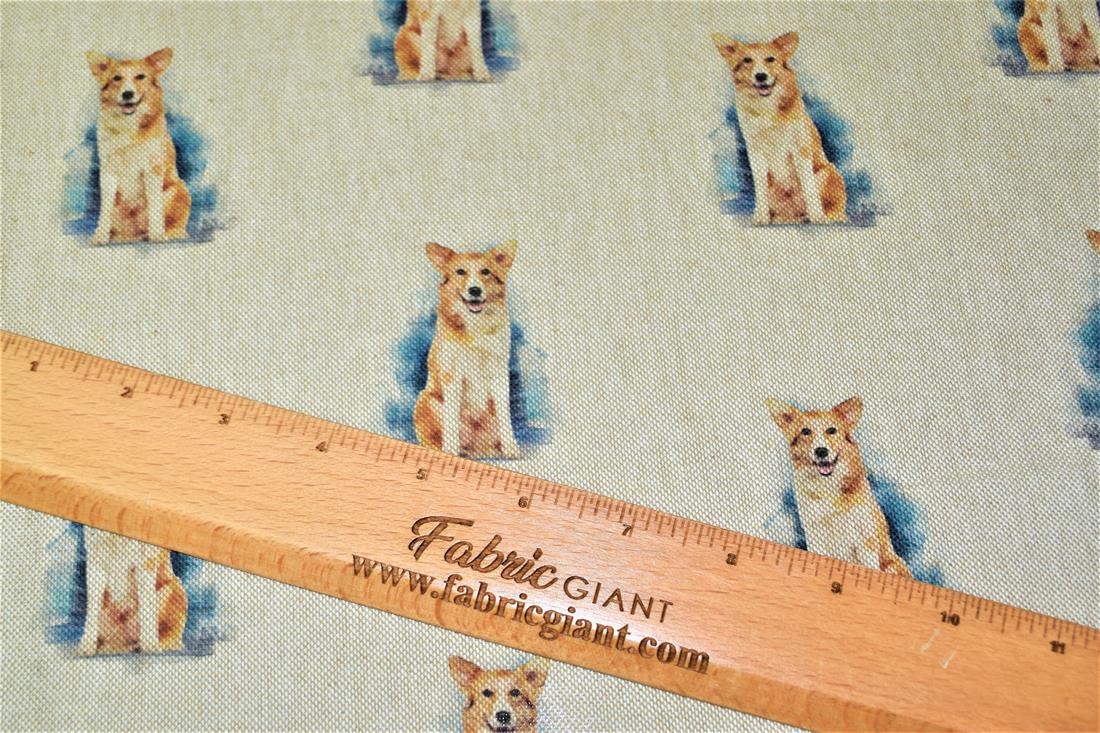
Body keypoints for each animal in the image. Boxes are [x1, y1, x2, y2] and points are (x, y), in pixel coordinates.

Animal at [76, 526, 188, 656]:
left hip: (173, 586)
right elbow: (93, 611)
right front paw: (87, 644)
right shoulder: (96, 564)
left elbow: (147, 608)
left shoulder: (145, 564)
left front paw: (150, 644)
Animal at [85, 48, 191, 244]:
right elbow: (105, 209)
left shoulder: (152, 169)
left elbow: (155, 206)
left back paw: (169, 233)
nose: (127, 94)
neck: (128, 125)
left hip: (179, 189)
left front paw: (157, 235)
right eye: (116, 78)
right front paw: (101, 235)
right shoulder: (109, 170)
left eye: (140, 76)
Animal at [414, 240, 521, 458]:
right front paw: (450, 449)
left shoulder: (499, 371)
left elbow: (505, 414)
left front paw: (510, 447)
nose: (475, 290)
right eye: (460, 271)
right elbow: (452, 416)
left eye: (485, 271)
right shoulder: (452, 374)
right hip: (424, 399)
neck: (476, 326)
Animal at [712, 32, 847, 225]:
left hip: (828, 171)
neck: (767, 107)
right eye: (747, 60)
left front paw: (817, 215)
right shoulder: (756, 152)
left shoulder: (800, 149)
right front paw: (761, 216)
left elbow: (808, 187)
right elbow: (760, 187)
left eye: (770, 59)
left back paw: (826, 216)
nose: (760, 76)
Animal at [765, 397, 911, 576]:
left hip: (893, 565)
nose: (821, 451)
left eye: (831, 430)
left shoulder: (865, 540)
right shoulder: (816, 537)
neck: (828, 487)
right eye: (805, 431)